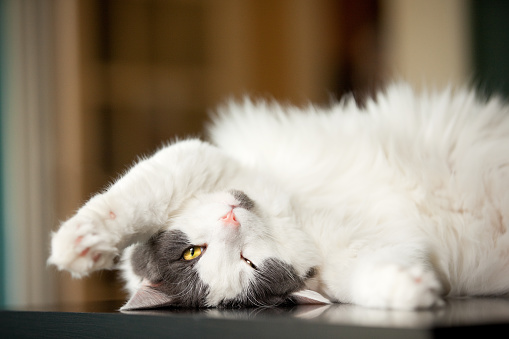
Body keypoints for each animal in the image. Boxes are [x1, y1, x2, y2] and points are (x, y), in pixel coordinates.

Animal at [47, 83, 508, 310]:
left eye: (191, 252)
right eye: (248, 263)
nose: (231, 220)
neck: (296, 218)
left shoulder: (203, 159)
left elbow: (133, 196)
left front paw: (77, 244)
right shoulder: (374, 254)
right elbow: (375, 280)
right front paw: (414, 294)